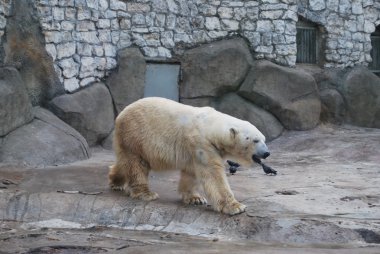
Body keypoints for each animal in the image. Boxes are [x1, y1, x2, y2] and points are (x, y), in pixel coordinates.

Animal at [108, 96, 270, 214]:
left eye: (264, 139)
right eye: (255, 140)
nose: (267, 153)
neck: (210, 126)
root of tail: (121, 114)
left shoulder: (196, 149)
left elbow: (191, 172)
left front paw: (195, 198)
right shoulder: (201, 143)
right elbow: (213, 174)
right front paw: (236, 207)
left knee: (125, 161)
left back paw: (115, 181)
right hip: (135, 134)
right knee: (137, 163)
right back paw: (146, 193)